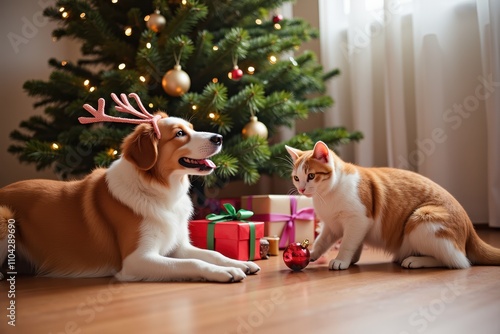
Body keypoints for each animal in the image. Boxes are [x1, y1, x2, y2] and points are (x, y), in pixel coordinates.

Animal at [0, 94, 262, 282]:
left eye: (192, 127)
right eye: (179, 134)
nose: (219, 138)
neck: (161, 191)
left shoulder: (178, 246)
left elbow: (212, 253)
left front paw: (239, 263)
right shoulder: (137, 259)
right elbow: (194, 262)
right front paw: (223, 272)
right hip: (6, 216)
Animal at [288, 140, 500, 268]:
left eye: (311, 176)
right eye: (296, 178)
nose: (302, 189)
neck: (327, 196)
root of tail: (471, 228)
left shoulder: (358, 220)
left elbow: (348, 243)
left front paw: (342, 260)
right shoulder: (333, 225)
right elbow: (322, 241)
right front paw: (312, 253)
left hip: (421, 221)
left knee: (459, 261)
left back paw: (415, 260)